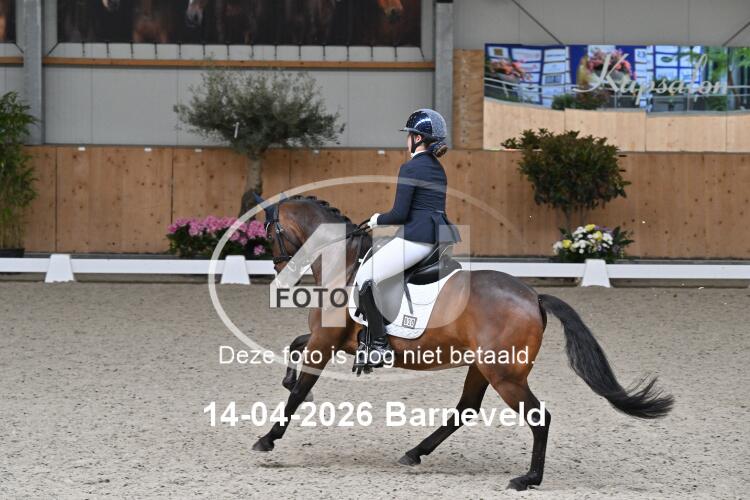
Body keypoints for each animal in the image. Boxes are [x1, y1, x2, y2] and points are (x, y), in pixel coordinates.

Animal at [250, 194, 674, 491]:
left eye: (268, 234)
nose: (277, 270)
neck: (346, 263)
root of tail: (534, 297)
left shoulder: (325, 342)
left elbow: (298, 388)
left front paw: (267, 439)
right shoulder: (330, 340)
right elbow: (294, 347)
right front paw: (291, 385)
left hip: (505, 375)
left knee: (538, 416)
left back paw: (527, 479)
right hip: (483, 366)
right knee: (466, 409)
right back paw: (414, 453)